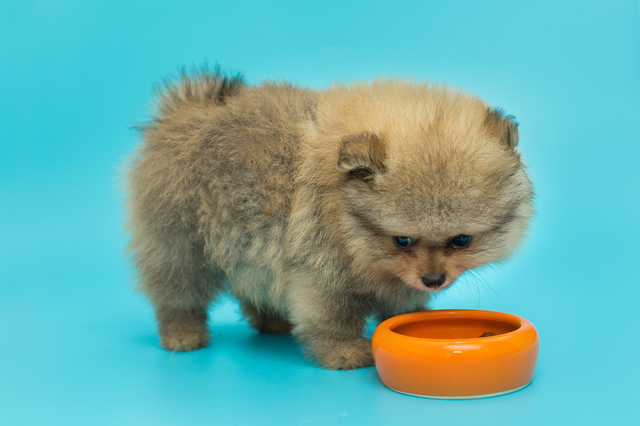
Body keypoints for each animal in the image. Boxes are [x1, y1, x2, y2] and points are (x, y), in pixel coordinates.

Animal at [124, 69, 528, 370]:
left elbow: (398, 303)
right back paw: (182, 333)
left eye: (461, 239)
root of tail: (185, 111)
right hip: (179, 238)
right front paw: (344, 351)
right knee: (177, 288)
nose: (433, 280)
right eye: (402, 240)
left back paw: (272, 320)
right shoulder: (322, 267)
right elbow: (330, 316)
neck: (343, 217)